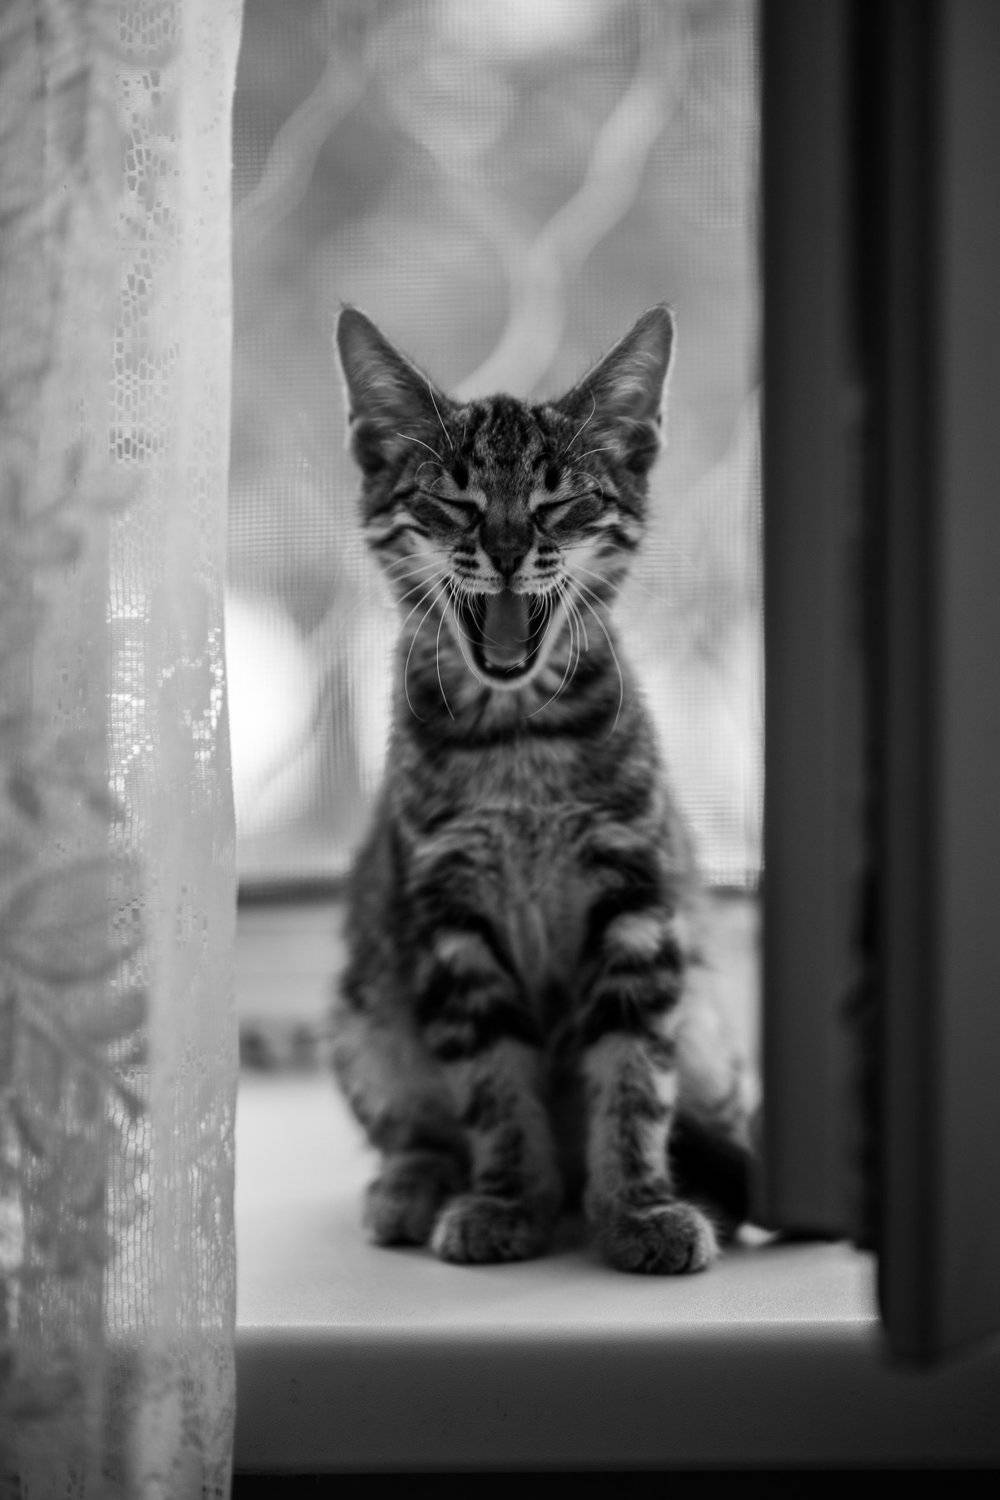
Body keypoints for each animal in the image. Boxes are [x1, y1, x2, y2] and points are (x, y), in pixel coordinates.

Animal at [329, 304, 753, 1272]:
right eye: (453, 502)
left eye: (563, 502)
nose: (509, 549)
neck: (516, 736)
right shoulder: (450, 920)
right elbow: (493, 1081)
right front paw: (509, 1198)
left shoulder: (637, 904)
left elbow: (633, 1073)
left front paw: (636, 1208)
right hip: (365, 1010)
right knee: (415, 1123)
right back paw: (414, 1181)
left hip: (710, 1025)